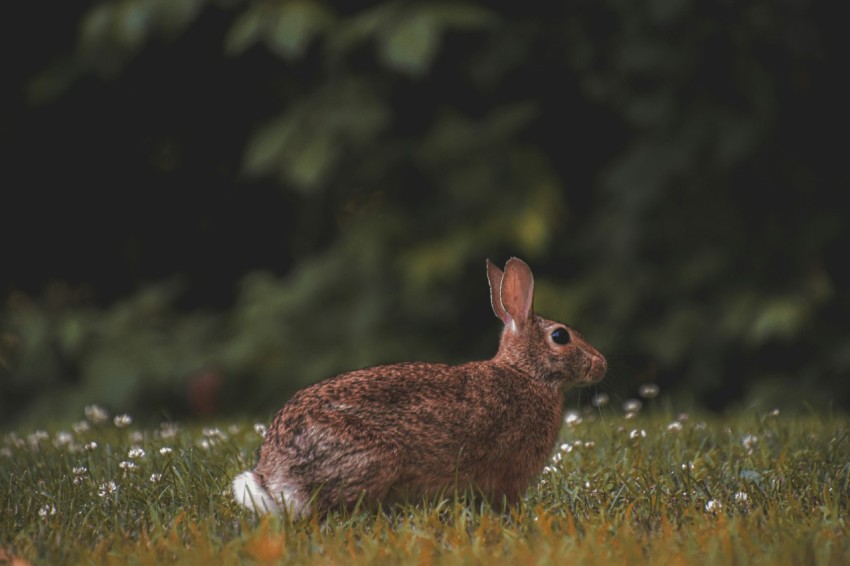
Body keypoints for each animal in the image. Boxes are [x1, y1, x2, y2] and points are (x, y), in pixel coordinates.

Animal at [232, 258, 604, 520]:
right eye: (560, 336)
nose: (601, 364)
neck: (526, 373)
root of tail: (275, 477)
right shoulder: (509, 473)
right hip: (374, 459)